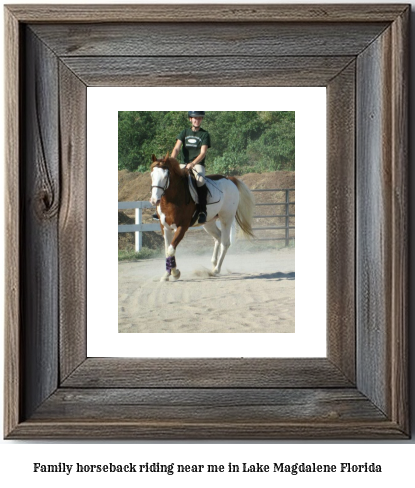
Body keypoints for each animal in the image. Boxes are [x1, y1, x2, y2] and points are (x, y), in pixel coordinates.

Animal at [150, 152, 254, 282]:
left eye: (165, 176)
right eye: (152, 175)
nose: (154, 200)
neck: (171, 200)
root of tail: (229, 179)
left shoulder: (182, 227)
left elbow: (171, 249)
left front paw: (175, 273)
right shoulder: (165, 227)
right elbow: (167, 250)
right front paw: (167, 274)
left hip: (226, 218)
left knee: (225, 243)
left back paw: (216, 270)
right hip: (209, 223)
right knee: (218, 237)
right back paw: (213, 264)